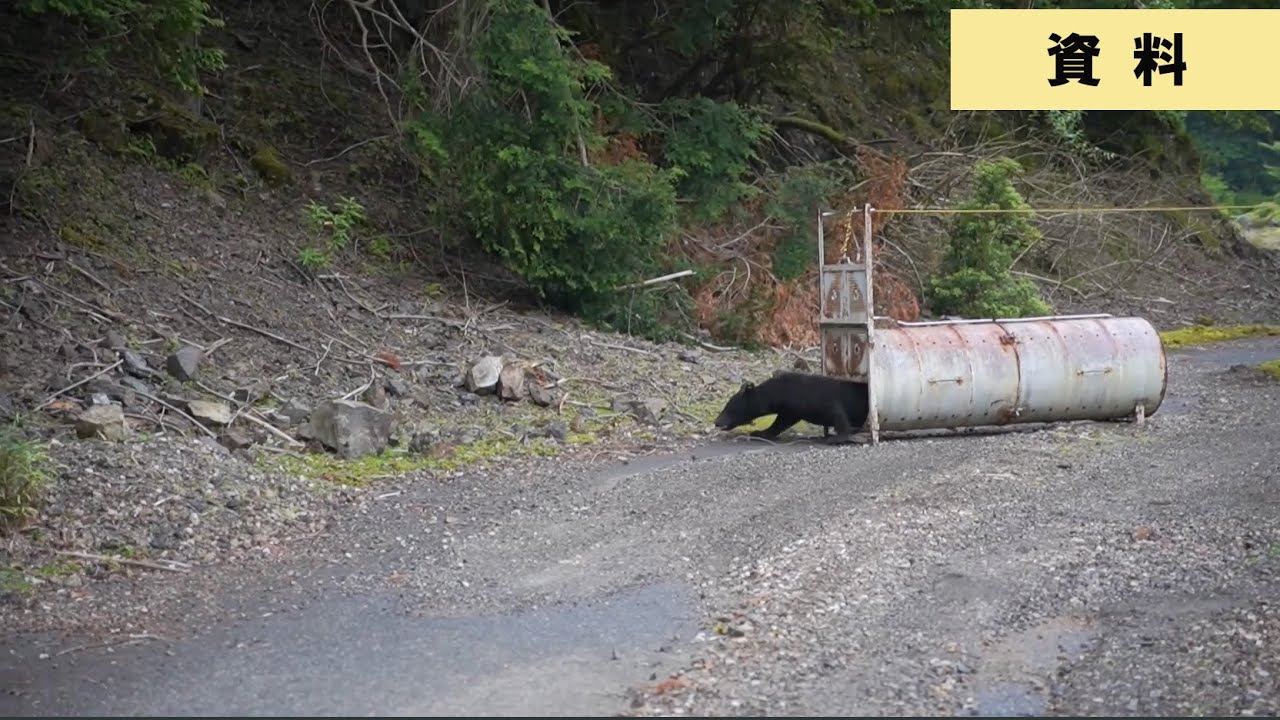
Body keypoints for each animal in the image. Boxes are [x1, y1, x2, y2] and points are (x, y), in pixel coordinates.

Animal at [713, 371, 870, 445]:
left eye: (730, 407)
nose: (717, 421)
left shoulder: (816, 399)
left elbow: (837, 412)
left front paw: (838, 437)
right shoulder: (791, 409)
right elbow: (780, 422)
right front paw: (760, 432)